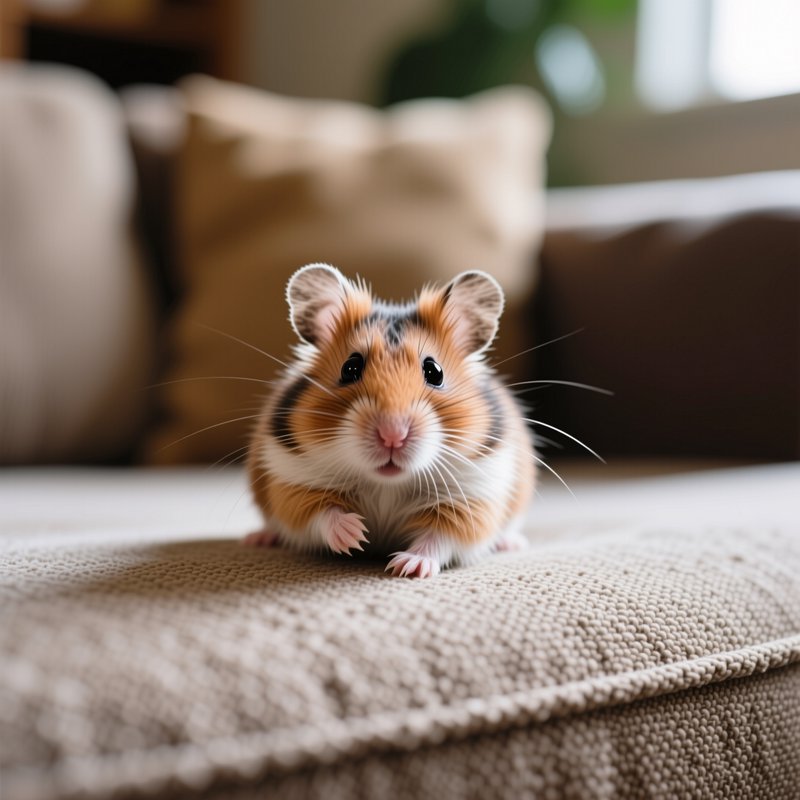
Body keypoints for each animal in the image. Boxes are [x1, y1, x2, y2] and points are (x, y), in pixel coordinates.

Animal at [245, 263, 536, 577]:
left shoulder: (472, 498)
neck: (387, 484)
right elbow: (320, 513)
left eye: (434, 372)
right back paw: (259, 538)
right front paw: (355, 535)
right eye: (350, 368)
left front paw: (408, 567)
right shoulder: (294, 481)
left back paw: (511, 543)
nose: (392, 436)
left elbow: (440, 537)